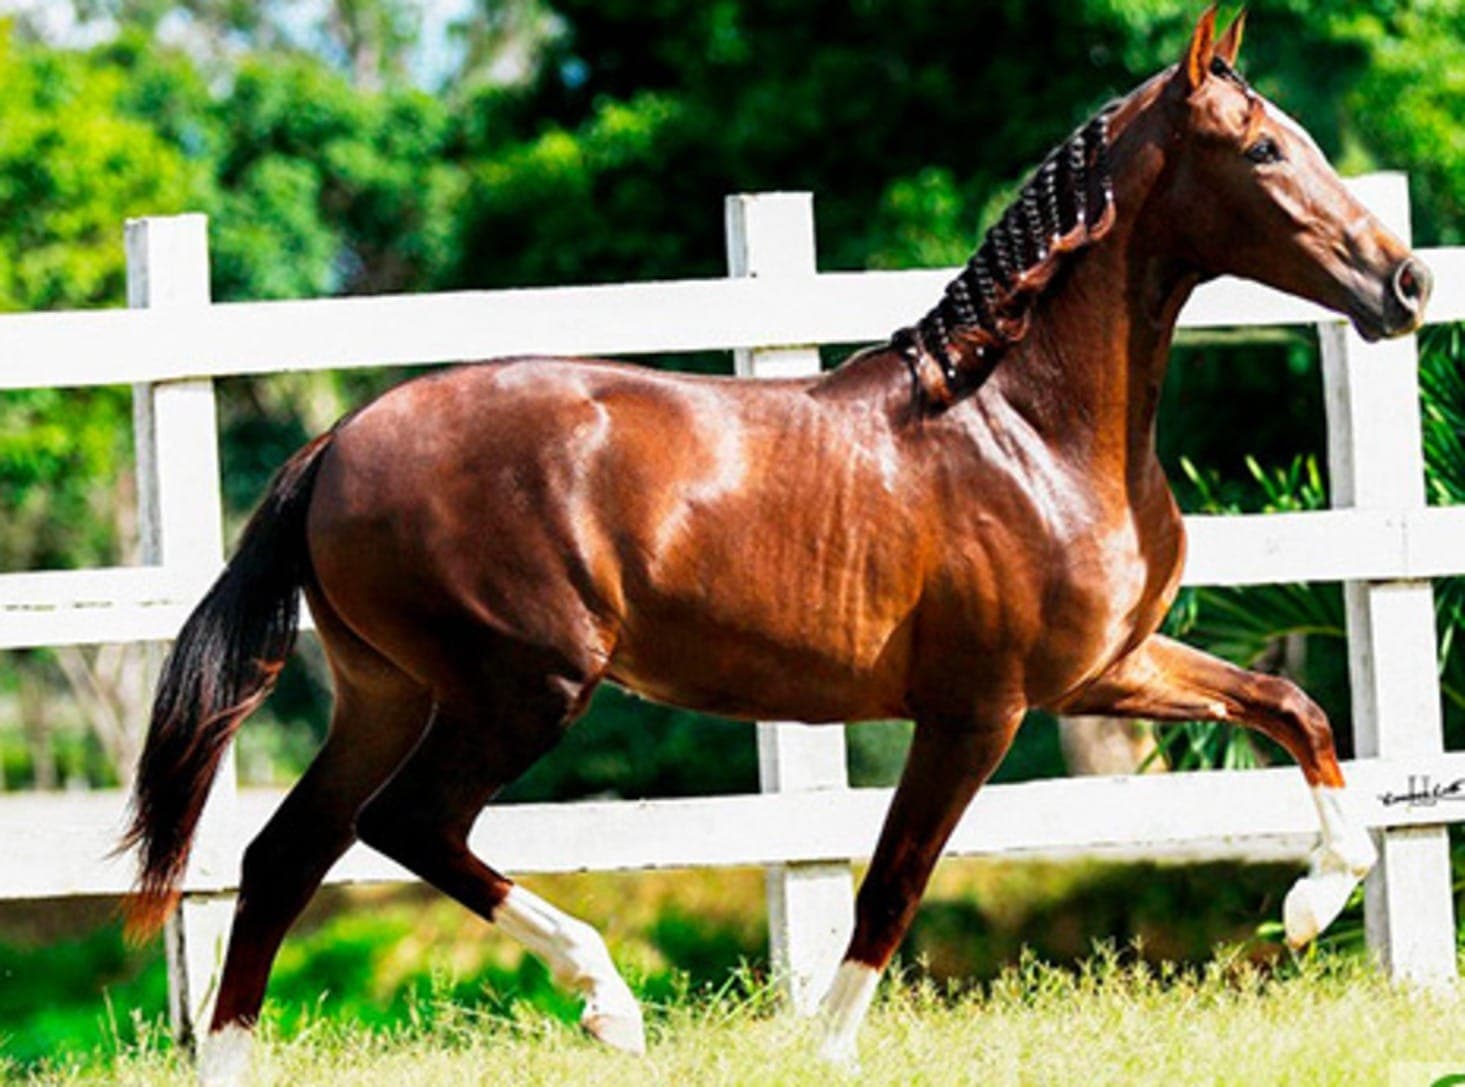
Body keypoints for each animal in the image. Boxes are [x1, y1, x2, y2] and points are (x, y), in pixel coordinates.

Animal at [121, 8, 1431, 1081]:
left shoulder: (1106, 667)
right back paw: (608, 1000)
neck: (1025, 426)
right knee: (407, 826)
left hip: (387, 692)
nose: (1407, 284)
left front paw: (1312, 903)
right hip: (522, 685)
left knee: (287, 853)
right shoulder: (978, 710)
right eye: (1263, 151)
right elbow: (891, 886)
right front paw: (823, 1052)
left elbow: (1290, 706)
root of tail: (334, 445)